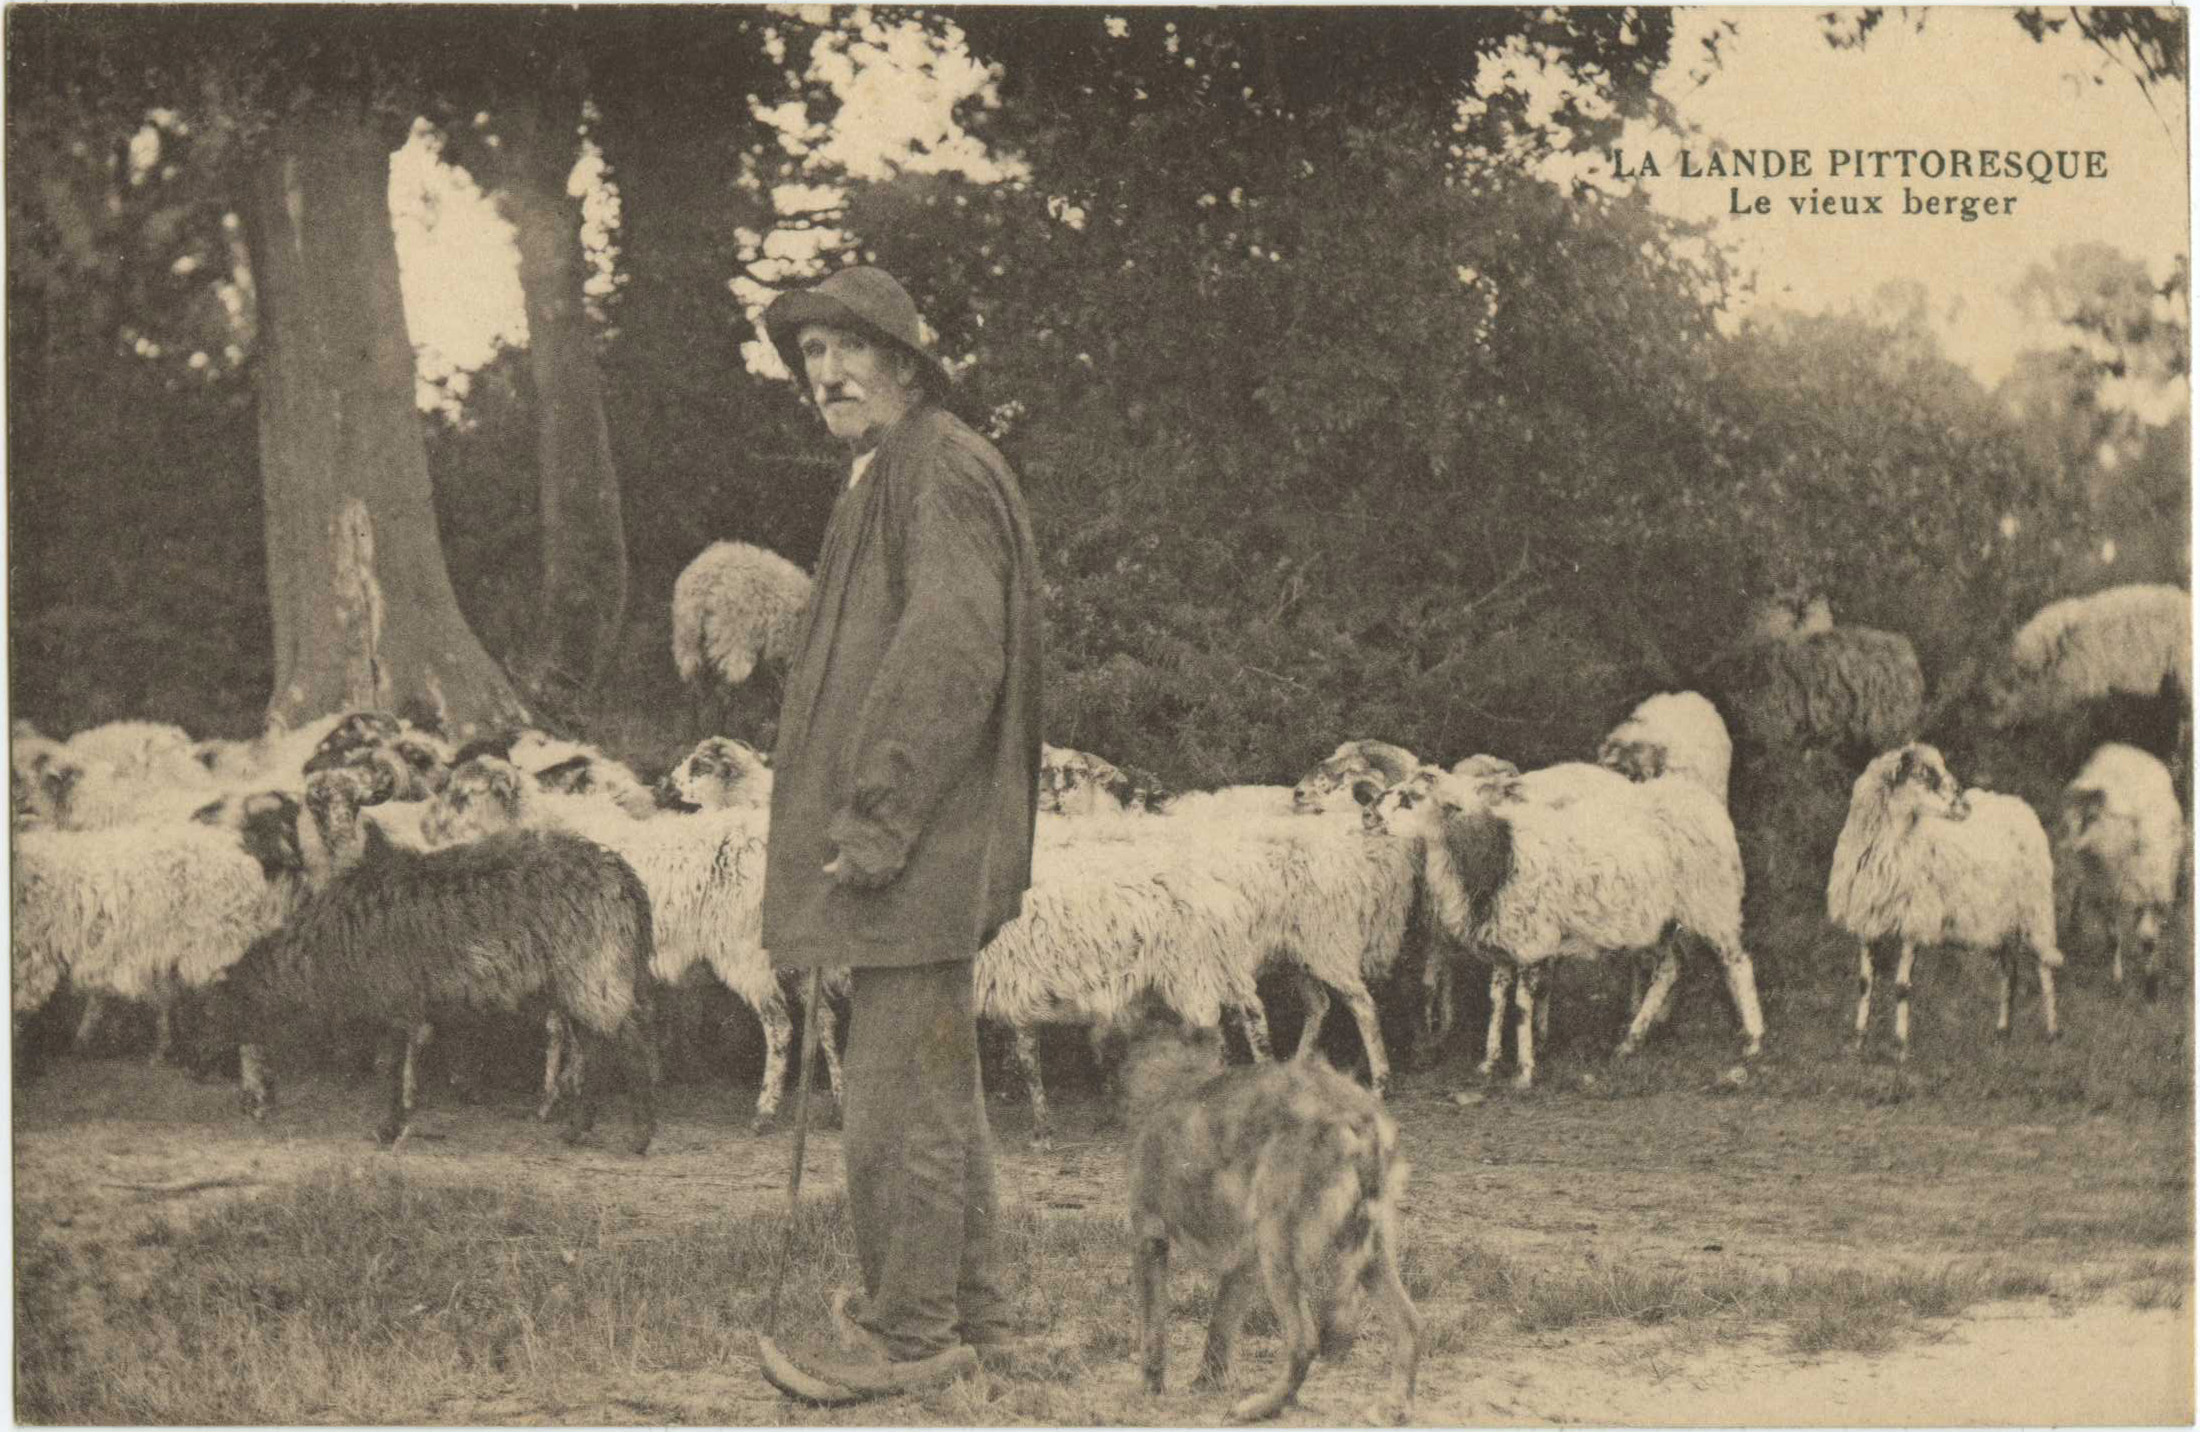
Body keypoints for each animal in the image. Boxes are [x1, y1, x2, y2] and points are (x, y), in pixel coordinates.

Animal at [1355, 761, 1768, 1086]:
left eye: (1410, 797)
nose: (1368, 816)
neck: (1494, 853)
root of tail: (1698, 799)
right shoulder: (1504, 943)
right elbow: (1497, 1001)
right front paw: (1488, 1062)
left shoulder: (1530, 942)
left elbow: (1522, 1005)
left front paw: (1524, 1071)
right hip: (1659, 920)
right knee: (1669, 970)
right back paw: (1629, 1042)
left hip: (1711, 902)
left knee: (1737, 963)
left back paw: (1753, 1040)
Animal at [1821, 743, 2059, 1060]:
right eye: (1927, 774)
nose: (1964, 805)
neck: (1892, 845)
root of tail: (2019, 804)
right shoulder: (1868, 919)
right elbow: (1864, 983)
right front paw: (1858, 1043)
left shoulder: (1913, 920)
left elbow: (1902, 987)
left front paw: (1900, 1048)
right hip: (1999, 920)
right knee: (2010, 973)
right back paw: (2002, 1036)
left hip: (2035, 909)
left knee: (2044, 967)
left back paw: (2052, 1035)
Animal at [2050, 743, 2173, 1003]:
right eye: (2080, 816)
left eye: (2093, 817)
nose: (2063, 844)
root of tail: (2121, 748)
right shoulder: (2107, 890)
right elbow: (2115, 934)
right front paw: (2117, 978)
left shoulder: (2154, 894)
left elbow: (2149, 938)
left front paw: (2151, 986)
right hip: (2090, 878)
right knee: (2078, 892)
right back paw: (2074, 925)